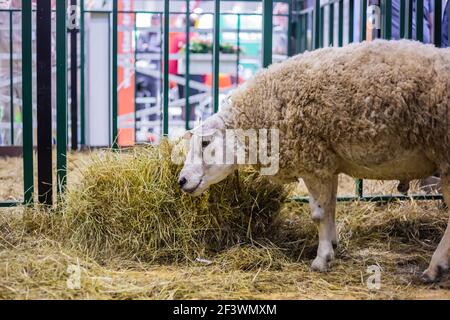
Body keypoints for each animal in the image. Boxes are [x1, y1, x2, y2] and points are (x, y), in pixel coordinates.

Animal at [178, 40, 450, 282]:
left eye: (205, 143)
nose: (181, 180)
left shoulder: (311, 161)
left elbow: (319, 214)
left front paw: (322, 259)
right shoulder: (327, 163)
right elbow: (330, 207)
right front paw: (333, 245)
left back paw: (434, 267)